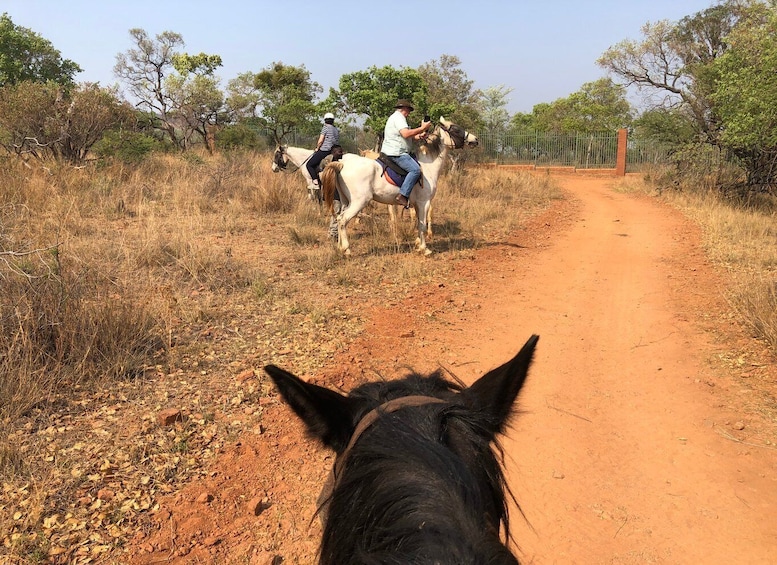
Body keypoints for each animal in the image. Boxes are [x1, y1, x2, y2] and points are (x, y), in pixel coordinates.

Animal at [320, 118, 476, 256]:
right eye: (456, 129)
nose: (475, 140)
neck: (427, 165)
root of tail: (342, 163)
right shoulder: (423, 202)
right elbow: (422, 224)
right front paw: (424, 249)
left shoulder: (417, 204)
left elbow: (418, 223)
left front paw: (418, 244)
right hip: (359, 202)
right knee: (343, 220)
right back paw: (346, 249)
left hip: (346, 201)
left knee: (338, 218)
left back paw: (339, 247)